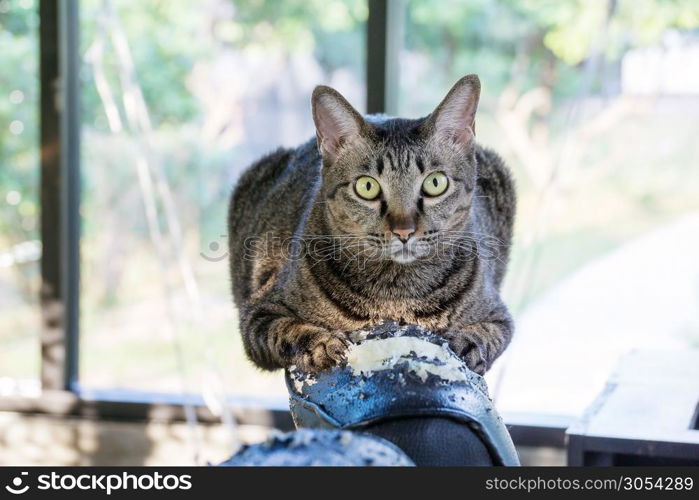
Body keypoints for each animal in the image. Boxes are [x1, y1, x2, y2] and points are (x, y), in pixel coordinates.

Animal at [228, 75, 516, 376]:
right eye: (367, 187)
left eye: (435, 183)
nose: (404, 230)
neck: (396, 296)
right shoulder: (259, 312)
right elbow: (288, 330)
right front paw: (322, 344)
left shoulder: (499, 316)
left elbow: (488, 335)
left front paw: (468, 345)